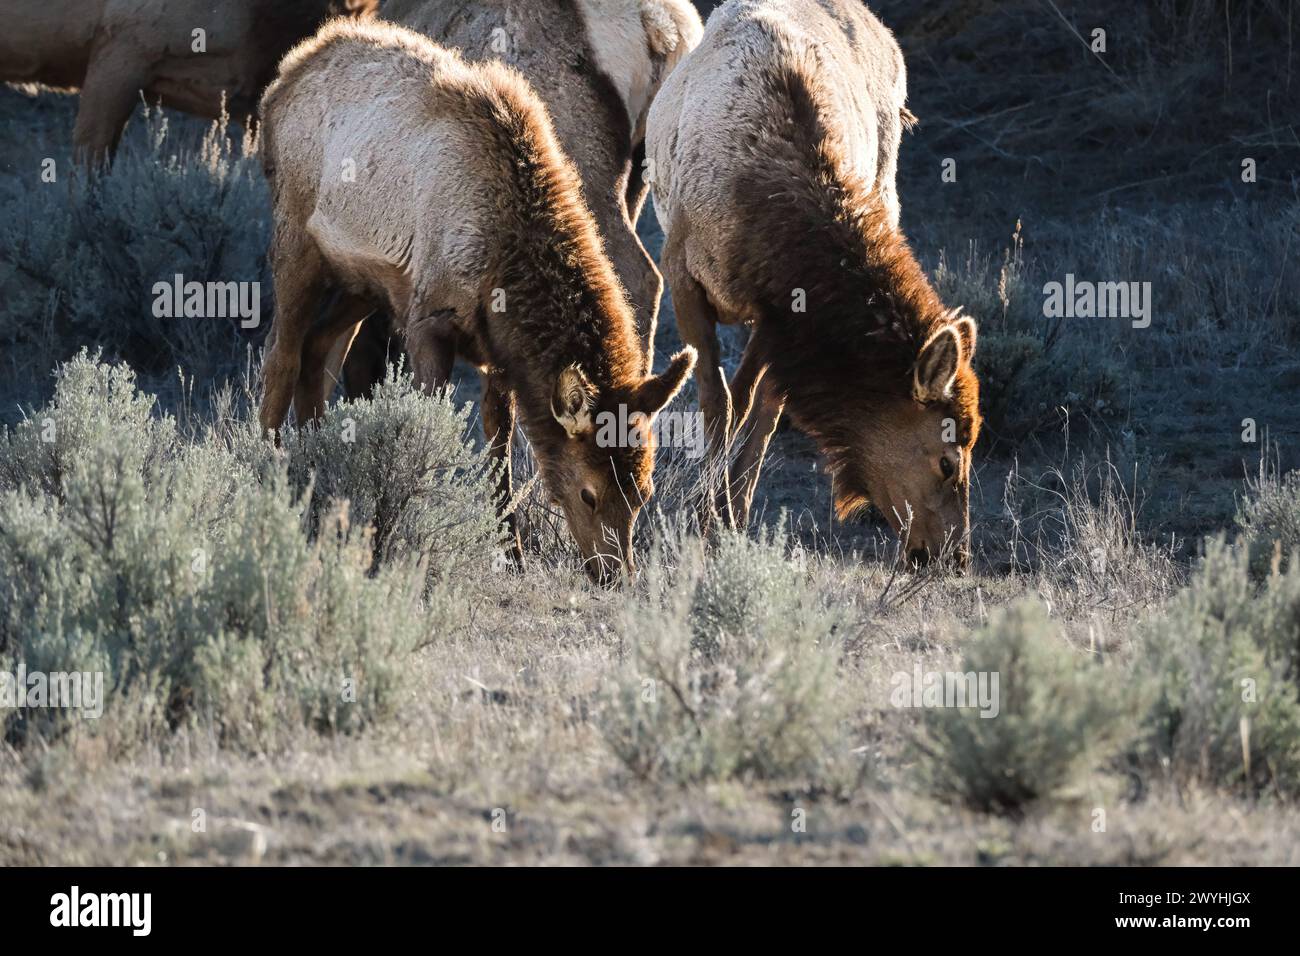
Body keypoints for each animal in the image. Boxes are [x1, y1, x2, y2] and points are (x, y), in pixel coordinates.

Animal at [644, 0, 977, 567]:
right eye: (947, 460)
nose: (954, 556)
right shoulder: (684, 273)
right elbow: (718, 400)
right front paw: (703, 517)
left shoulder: (776, 312)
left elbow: (757, 407)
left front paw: (728, 517)